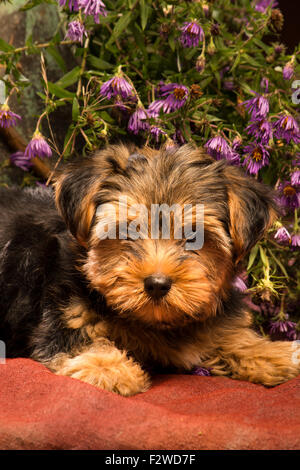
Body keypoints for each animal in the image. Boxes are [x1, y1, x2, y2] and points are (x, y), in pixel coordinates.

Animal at [0, 145, 298, 394]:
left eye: (194, 236)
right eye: (127, 231)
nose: (157, 283)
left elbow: (233, 339)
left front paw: (279, 354)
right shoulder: (67, 315)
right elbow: (79, 341)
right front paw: (110, 369)